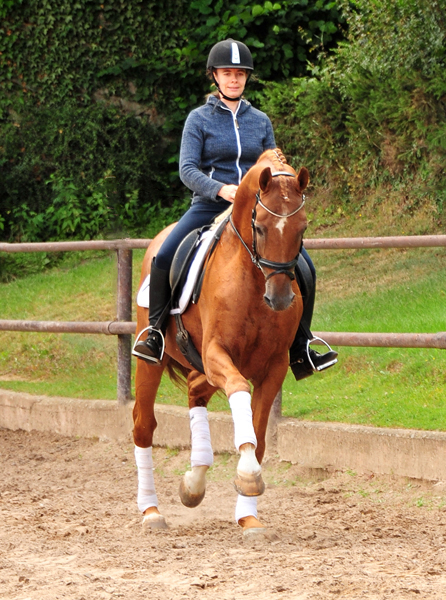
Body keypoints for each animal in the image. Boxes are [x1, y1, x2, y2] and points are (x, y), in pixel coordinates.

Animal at [132, 148, 310, 536]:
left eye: (302, 228)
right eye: (260, 226)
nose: (279, 298)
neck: (253, 280)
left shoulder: (274, 367)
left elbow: (259, 436)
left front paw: (249, 514)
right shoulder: (218, 354)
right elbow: (240, 391)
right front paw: (247, 475)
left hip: (201, 364)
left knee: (195, 393)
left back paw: (193, 482)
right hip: (154, 359)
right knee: (143, 425)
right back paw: (151, 511)